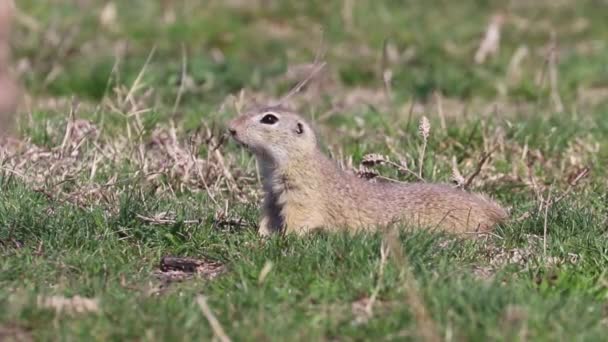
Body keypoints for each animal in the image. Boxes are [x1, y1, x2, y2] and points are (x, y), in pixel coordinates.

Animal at [227, 105, 504, 236]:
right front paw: (262, 235)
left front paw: (284, 238)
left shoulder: (303, 194)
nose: (230, 127)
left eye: (269, 119)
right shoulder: (272, 195)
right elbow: (268, 217)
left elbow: (300, 218)